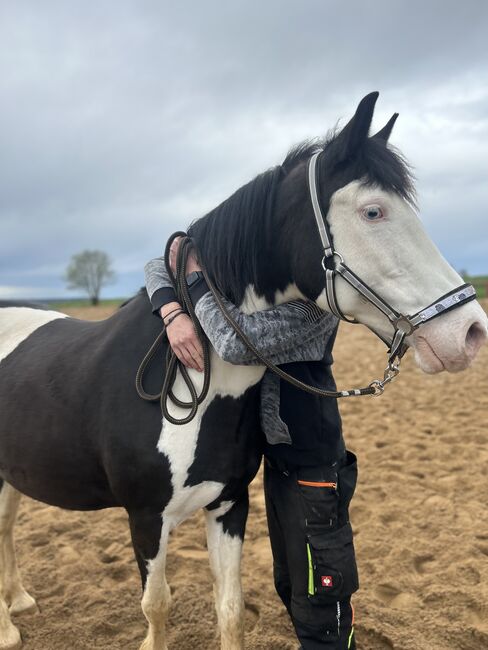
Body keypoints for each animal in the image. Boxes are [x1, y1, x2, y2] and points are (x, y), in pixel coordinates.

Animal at [0, 92, 488, 648]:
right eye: (373, 211)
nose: (469, 331)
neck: (189, 383)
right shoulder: (147, 519)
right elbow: (157, 607)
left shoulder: (229, 505)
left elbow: (230, 609)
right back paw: (8, 629)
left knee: (7, 527)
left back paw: (18, 602)